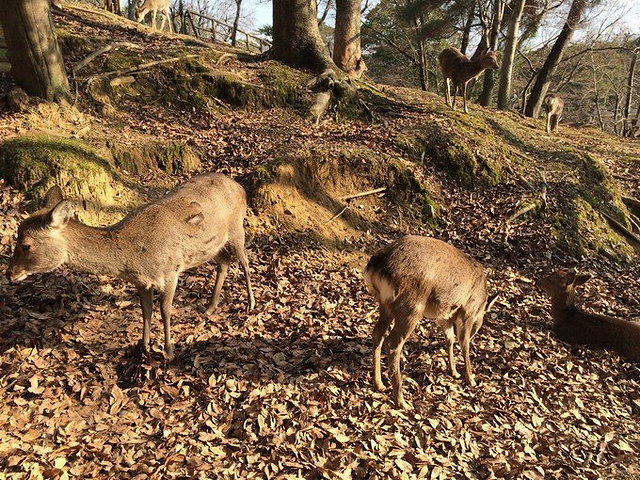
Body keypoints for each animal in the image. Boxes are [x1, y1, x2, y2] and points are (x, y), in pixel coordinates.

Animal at [5, 174, 255, 362]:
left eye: (25, 245)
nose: (9, 273)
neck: (134, 258)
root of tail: (241, 188)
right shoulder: (142, 282)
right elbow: (146, 311)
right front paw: (142, 347)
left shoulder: (170, 270)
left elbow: (165, 310)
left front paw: (169, 351)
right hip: (213, 245)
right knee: (224, 262)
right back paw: (210, 307)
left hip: (236, 227)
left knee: (244, 261)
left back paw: (250, 304)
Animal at [362, 236, 498, 408]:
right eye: (478, 325)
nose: (475, 332)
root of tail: (376, 268)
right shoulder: (467, 310)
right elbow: (464, 343)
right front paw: (471, 379)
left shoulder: (444, 316)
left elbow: (450, 339)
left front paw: (454, 371)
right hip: (412, 307)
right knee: (393, 343)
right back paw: (401, 401)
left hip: (385, 305)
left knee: (377, 334)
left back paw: (379, 384)